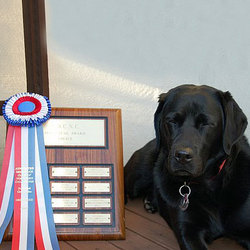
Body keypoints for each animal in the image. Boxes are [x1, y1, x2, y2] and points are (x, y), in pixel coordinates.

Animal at [125, 85, 250, 249]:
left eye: (206, 123)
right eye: (172, 121)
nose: (182, 156)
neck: (207, 185)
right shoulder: (188, 231)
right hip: (138, 175)